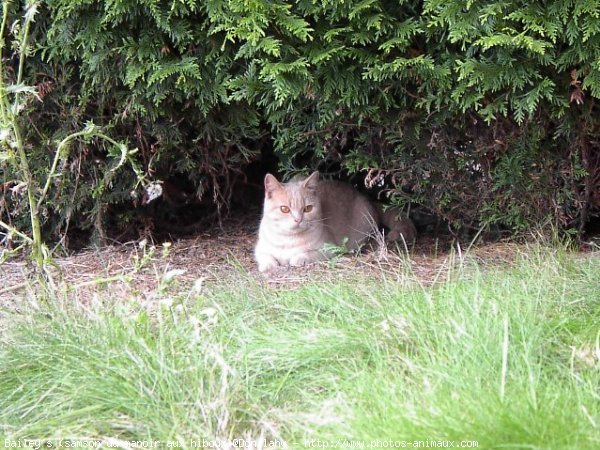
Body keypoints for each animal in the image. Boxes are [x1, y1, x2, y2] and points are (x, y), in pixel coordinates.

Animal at [254, 171, 418, 270]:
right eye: (284, 209)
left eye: (307, 208)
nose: (297, 219)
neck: (288, 241)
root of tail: (367, 198)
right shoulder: (260, 249)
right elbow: (265, 257)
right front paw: (268, 266)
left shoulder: (327, 250)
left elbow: (305, 255)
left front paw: (296, 259)